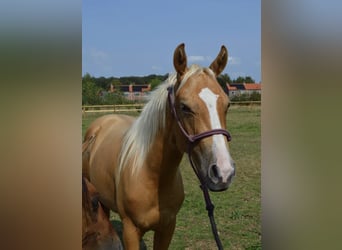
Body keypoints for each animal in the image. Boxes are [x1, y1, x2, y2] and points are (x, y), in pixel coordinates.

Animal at [83, 44, 235, 249]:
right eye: (184, 107)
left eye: (227, 105)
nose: (223, 172)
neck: (151, 175)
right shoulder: (130, 231)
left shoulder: (167, 227)